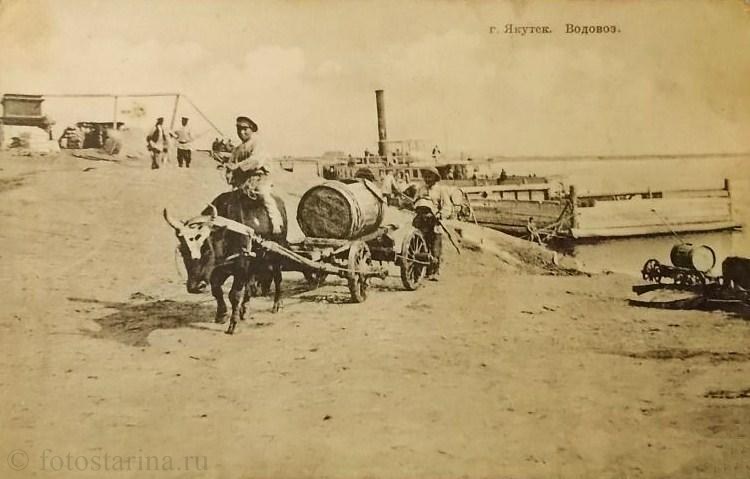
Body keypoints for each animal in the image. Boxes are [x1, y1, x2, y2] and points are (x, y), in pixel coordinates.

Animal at [164, 189, 288, 334]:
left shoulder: (241, 265)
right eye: (183, 251)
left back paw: (277, 304)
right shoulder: (217, 271)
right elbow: (217, 290)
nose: (196, 287)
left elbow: (234, 295)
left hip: (277, 252)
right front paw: (222, 314)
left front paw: (233, 324)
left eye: (207, 249)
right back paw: (245, 308)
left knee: (277, 277)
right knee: (250, 283)